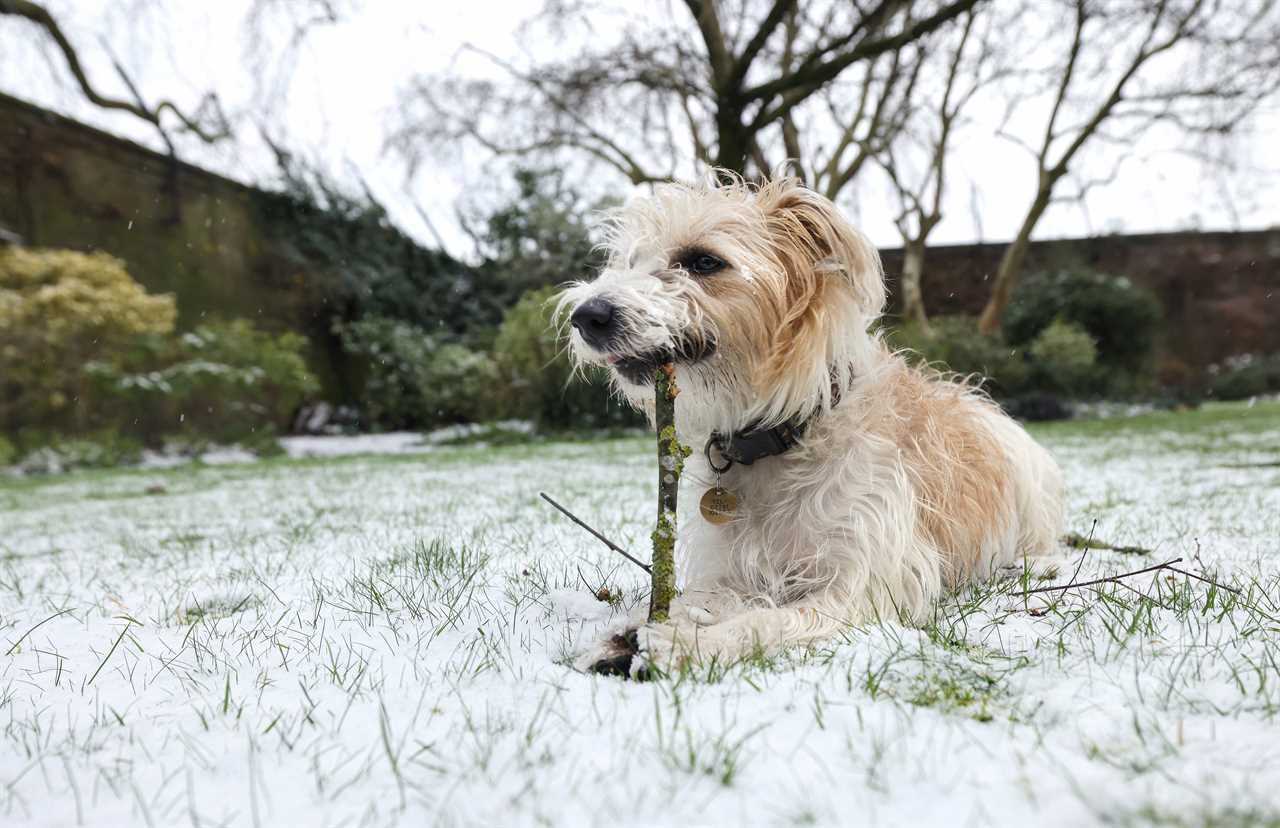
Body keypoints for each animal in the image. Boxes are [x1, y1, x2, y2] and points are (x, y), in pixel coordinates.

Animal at [558, 176, 1059, 680]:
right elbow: (697, 600)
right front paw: (633, 633)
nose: (586, 316)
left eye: (704, 261)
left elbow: (765, 622)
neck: (781, 436)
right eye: (629, 261)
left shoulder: (861, 589)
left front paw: (688, 644)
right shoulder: (730, 571)